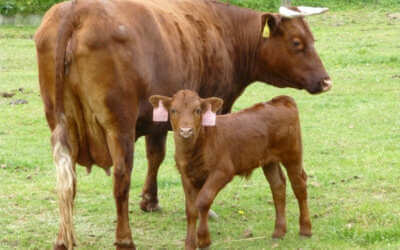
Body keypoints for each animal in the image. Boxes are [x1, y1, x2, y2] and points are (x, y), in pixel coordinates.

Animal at [148, 90, 308, 250]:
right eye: (173, 110)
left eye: (198, 110)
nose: (186, 131)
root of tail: (280, 100)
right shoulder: (185, 175)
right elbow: (191, 209)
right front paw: (190, 243)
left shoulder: (222, 171)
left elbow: (203, 201)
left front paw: (204, 240)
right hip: (269, 160)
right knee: (278, 186)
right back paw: (279, 232)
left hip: (293, 154)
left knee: (299, 185)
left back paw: (305, 229)